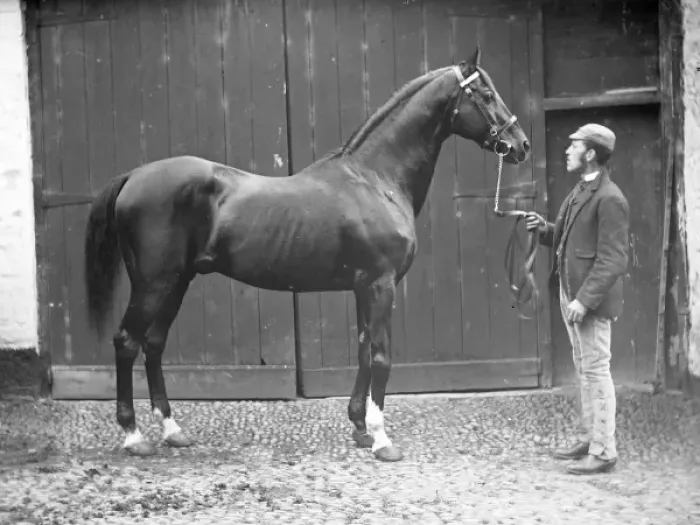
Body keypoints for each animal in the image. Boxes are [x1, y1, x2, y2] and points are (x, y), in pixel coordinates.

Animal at [84, 46, 530, 462]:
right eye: (485, 94)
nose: (521, 145)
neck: (375, 179)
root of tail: (133, 176)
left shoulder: (363, 287)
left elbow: (364, 349)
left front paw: (360, 429)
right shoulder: (381, 285)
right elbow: (382, 356)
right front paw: (382, 440)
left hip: (177, 283)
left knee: (153, 343)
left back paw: (173, 431)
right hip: (154, 284)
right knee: (127, 342)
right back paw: (134, 436)